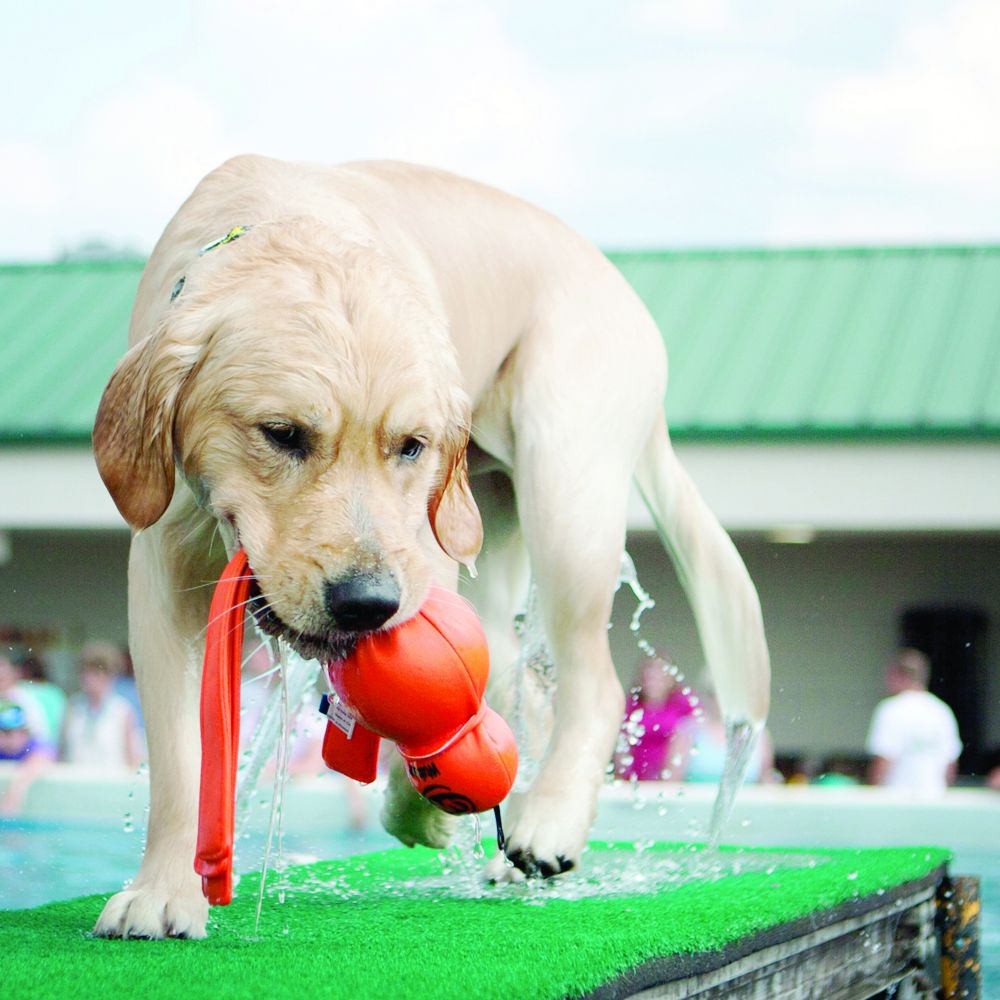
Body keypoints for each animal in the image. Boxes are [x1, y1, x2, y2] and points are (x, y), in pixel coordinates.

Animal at [90, 156, 768, 936]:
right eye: (282, 433)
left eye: (411, 445)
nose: (366, 603)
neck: (285, 218)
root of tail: (625, 290)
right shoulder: (163, 557)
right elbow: (179, 753)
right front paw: (163, 890)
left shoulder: (422, 551)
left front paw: (422, 808)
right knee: (523, 682)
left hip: (565, 486)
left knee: (589, 680)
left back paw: (547, 822)